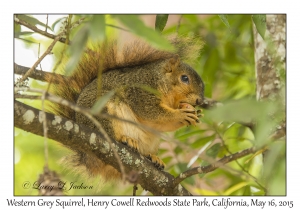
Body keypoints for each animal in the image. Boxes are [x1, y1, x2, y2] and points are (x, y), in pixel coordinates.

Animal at [48, 37, 205, 180]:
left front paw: (195, 114)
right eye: (184, 78)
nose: (200, 100)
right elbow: (151, 112)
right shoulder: (141, 91)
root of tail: (87, 157)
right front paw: (181, 115)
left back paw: (152, 157)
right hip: (103, 110)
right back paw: (126, 139)